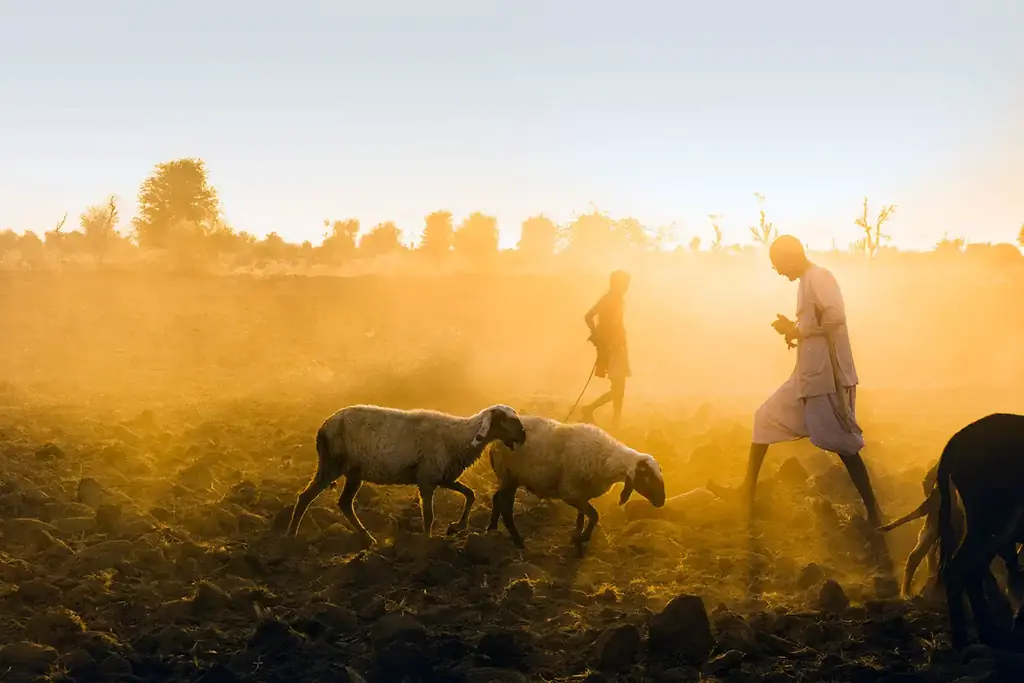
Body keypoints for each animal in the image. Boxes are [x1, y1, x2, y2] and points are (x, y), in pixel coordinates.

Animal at [288, 403, 528, 548]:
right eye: (506, 420)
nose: (524, 436)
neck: (460, 437)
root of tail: (323, 427)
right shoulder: (427, 480)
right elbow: (429, 515)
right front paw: (427, 543)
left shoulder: (442, 477)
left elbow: (470, 494)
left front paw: (456, 527)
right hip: (331, 464)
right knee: (306, 497)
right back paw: (291, 536)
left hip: (354, 472)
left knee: (345, 503)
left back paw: (367, 538)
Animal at [485, 417, 667, 557]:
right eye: (646, 477)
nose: (661, 502)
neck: (606, 459)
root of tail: (494, 445)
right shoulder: (570, 493)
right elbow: (594, 515)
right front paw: (581, 539)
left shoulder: (582, 494)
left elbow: (581, 519)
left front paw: (578, 545)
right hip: (510, 476)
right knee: (506, 507)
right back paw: (518, 541)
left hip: (509, 479)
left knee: (497, 498)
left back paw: (492, 527)